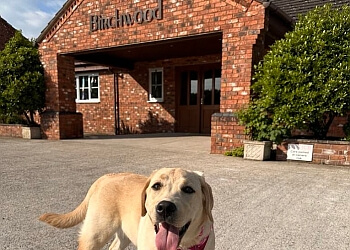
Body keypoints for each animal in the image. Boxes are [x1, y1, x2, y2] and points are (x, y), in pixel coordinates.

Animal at [38, 168, 213, 250]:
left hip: (125, 233)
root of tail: (106, 177)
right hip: (94, 236)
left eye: (188, 189)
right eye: (156, 186)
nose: (164, 207)